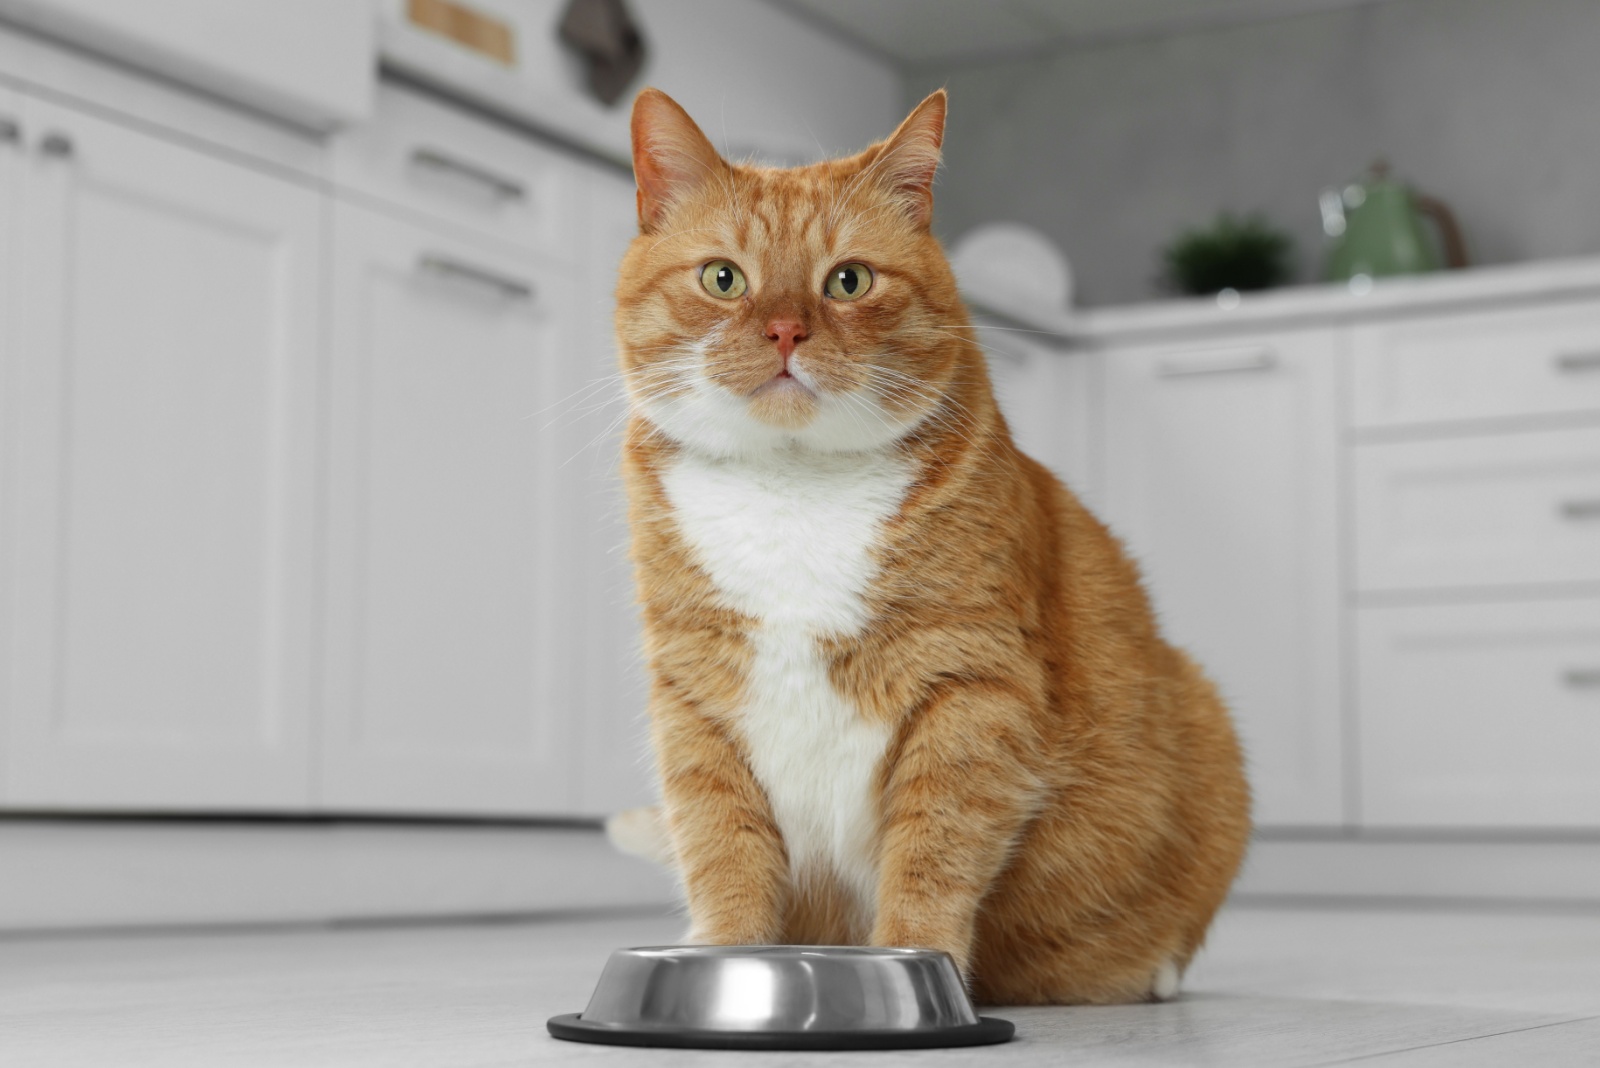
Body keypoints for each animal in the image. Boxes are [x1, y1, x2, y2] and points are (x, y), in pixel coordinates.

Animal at [608, 87, 1248, 1004]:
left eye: (848, 280)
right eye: (722, 278)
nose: (785, 332)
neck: (793, 491)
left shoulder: (972, 689)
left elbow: (933, 850)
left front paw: (916, 960)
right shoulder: (694, 702)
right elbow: (722, 851)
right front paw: (723, 960)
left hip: (1207, 716)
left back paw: (1154, 972)